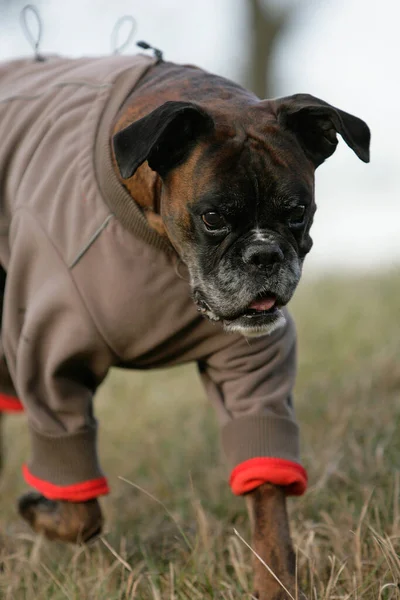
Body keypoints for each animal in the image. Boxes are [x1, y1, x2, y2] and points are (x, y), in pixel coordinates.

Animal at [0, 48, 368, 600]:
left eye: (297, 212)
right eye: (214, 217)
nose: (265, 255)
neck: (160, 245)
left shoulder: (252, 373)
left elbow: (268, 505)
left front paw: (275, 582)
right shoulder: (49, 367)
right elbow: (80, 505)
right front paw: (39, 511)